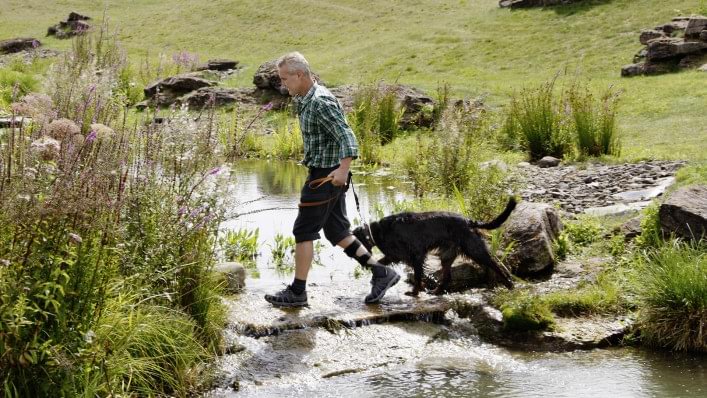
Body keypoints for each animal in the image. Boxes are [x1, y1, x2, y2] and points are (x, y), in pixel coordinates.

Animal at [352, 198, 516, 296]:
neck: (378, 231)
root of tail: (469, 221)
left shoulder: (416, 255)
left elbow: (417, 276)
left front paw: (414, 292)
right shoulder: (396, 255)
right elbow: (381, 262)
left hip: (474, 250)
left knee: (496, 266)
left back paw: (510, 286)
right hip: (447, 255)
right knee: (447, 277)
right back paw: (436, 291)